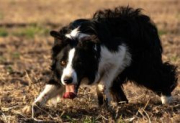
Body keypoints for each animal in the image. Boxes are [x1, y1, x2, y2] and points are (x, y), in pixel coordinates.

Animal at [32, 6, 177, 114]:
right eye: (63, 62)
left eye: (80, 63)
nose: (67, 80)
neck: (78, 38)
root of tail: (141, 18)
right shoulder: (60, 70)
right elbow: (52, 85)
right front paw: (33, 108)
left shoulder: (119, 54)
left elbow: (103, 83)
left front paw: (104, 105)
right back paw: (122, 103)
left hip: (142, 61)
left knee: (155, 73)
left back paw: (167, 101)